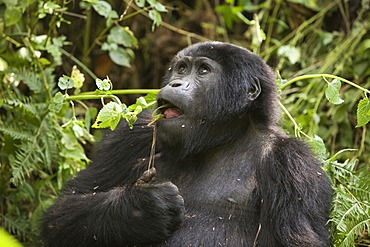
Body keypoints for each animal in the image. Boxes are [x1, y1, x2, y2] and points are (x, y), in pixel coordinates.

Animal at [40, 41, 332, 246]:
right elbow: (62, 213)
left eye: (203, 71)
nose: (176, 83)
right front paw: (139, 210)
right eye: (181, 68)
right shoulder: (133, 135)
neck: (222, 138)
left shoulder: (293, 163)